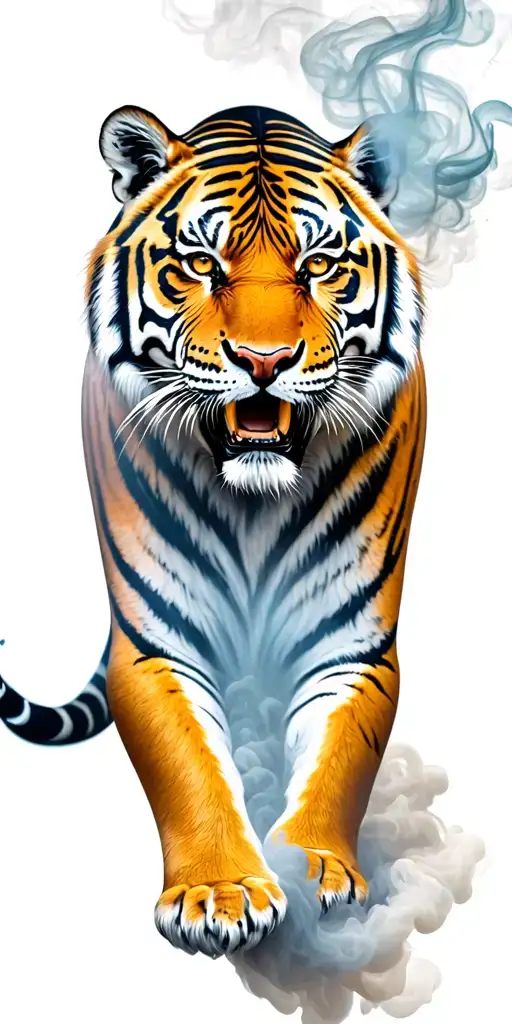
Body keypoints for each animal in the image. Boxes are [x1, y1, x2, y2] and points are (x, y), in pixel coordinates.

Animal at [0, 104, 425, 958]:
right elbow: (188, 764)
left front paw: (316, 872)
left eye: (319, 264)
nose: (264, 360)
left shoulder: (351, 642)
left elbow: (338, 761)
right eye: (201, 263)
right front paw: (221, 892)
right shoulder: (155, 640)